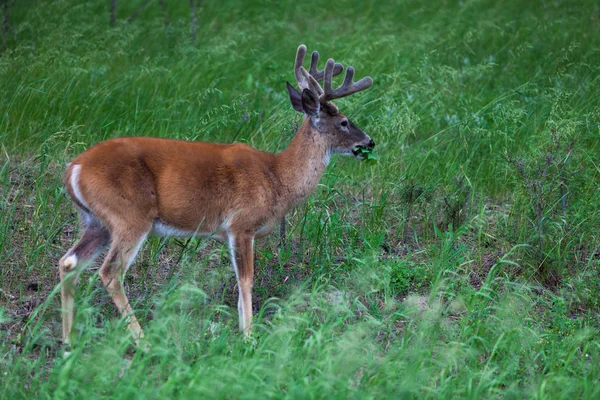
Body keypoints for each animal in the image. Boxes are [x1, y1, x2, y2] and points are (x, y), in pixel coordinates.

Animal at [57, 45, 376, 348]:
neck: (277, 177)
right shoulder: (241, 224)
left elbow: (238, 279)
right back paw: (142, 341)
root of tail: (74, 168)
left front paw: (242, 331)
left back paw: (69, 342)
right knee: (110, 273)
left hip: (97, 222)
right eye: (345, 121)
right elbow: (246, 280)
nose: (370, 142)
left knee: (69, 262)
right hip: (130, 216)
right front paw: (249, 336)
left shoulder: (230, 232)